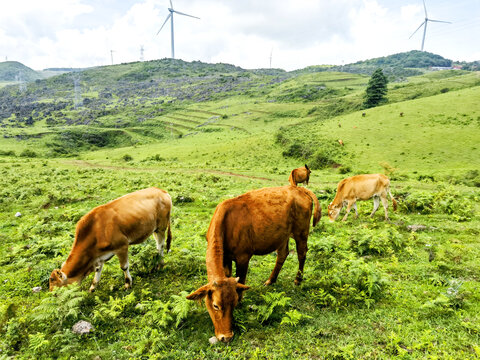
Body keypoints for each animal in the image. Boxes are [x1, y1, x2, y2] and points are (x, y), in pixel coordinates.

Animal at [186, 186, 320, 344]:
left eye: (234, 303)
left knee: (302, 253)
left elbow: (241, 280)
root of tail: (298, 188)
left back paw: (298, 280)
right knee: (283, 253)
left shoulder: (243, 257)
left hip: (301, 231)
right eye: (215, 305)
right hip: (282, 235)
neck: (226, 223)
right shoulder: (226, 259)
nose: (227, 337)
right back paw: (271, 280)